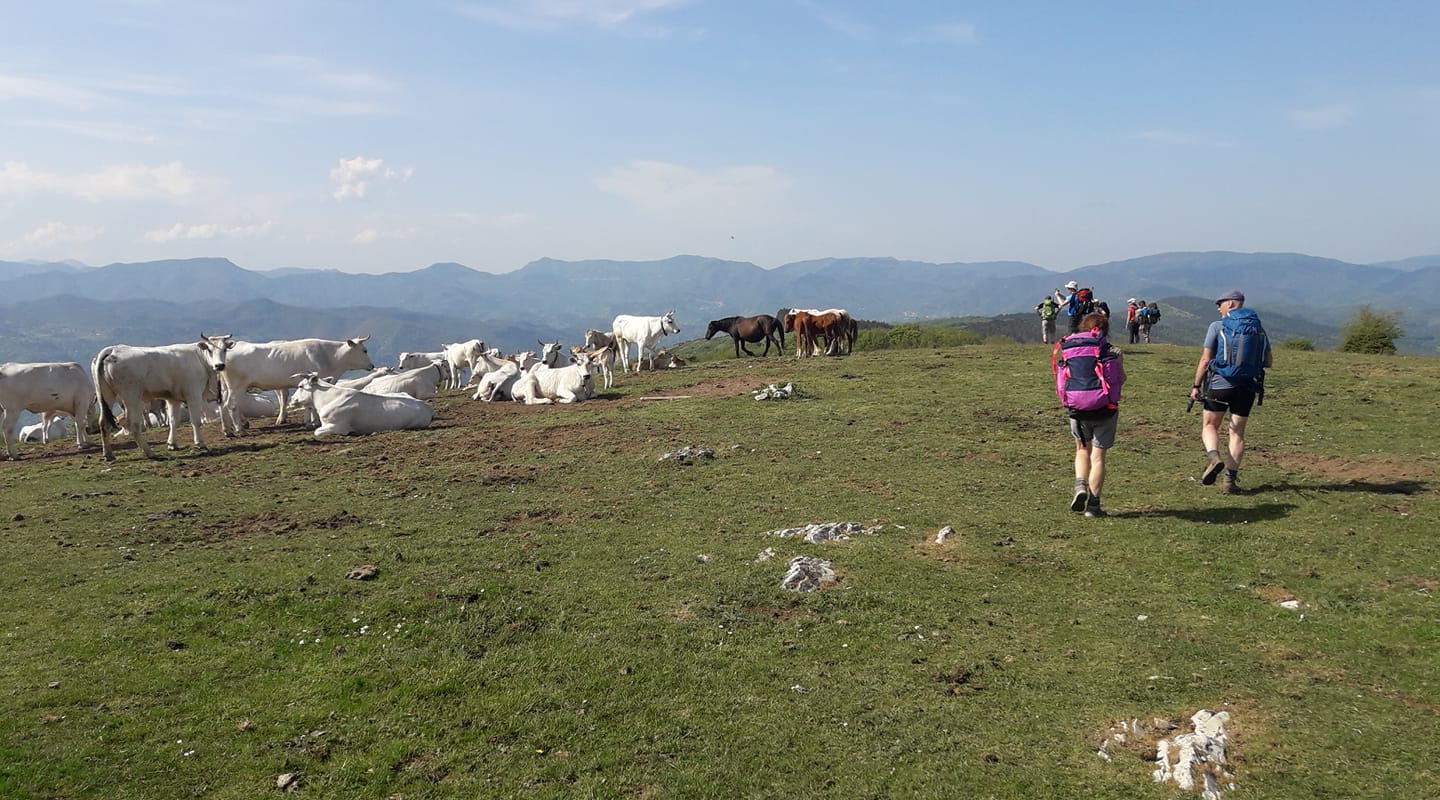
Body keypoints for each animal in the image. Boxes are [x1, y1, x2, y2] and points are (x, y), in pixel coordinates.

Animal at [91, 330, 233, 457]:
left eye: (224, 349)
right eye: (209, 349)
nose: (219, 365)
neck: (200, 359)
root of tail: (112, 349)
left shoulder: (173, 399)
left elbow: (173, 421)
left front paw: (172, 444)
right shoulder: (194, 395)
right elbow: (196, 421)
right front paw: (200, 443)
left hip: (106, 394)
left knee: (103, 423)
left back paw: (109, 454)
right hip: (131, 396)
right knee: (133, 424)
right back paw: (149, 452)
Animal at [217, 338, 377, 437]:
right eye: (364, 350)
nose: (372, 365)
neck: (330, 358)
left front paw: (310, 421)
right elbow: (310, 405)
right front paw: (313, 422)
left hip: (227, 387)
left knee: (223, 405)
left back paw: (228, 430)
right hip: (236, 386)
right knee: (231, 405)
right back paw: (240, 430)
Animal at [289, 374, 429, 437]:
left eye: (300, 386)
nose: (292, 399)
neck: (328, 399)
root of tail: (426, 406)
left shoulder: (338, 426)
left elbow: (316, 431)